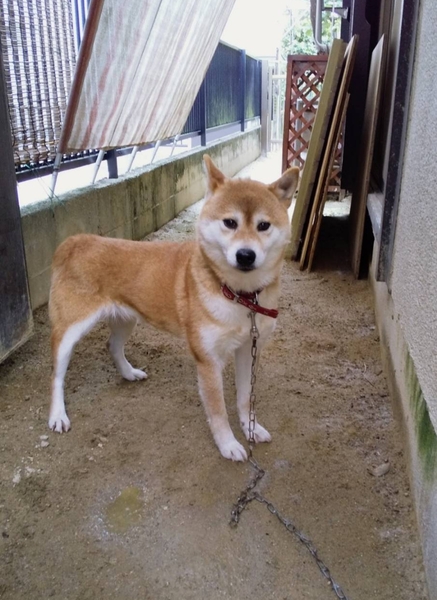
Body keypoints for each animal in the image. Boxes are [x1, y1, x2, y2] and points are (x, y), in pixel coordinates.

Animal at [48, 156, 299, 461]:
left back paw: (129, 373)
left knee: (113, 346)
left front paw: (251, 429)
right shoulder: (208, 360)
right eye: (230, 222)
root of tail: (74, 242)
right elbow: (218, 411)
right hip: (70, 331)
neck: (239, 295)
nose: (245, 255)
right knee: (56, 376)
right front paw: (228, 444)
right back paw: (57, 415)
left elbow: (244, 399)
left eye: (264, 225)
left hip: (126, 319)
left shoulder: (248, 350)